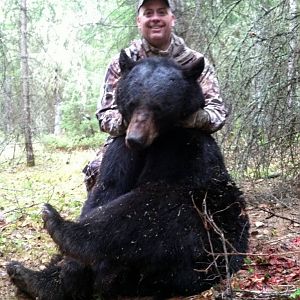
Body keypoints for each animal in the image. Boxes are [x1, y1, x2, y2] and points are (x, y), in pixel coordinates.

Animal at [7, 51, 248, 300]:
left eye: (160, 107)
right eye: (132, 103)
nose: (135, 139)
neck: (155, 144)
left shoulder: (187, 152)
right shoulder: (119, 154)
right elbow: (105, 189)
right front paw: (66, 270)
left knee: (138, 219)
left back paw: (56, 224)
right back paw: (28, 276)